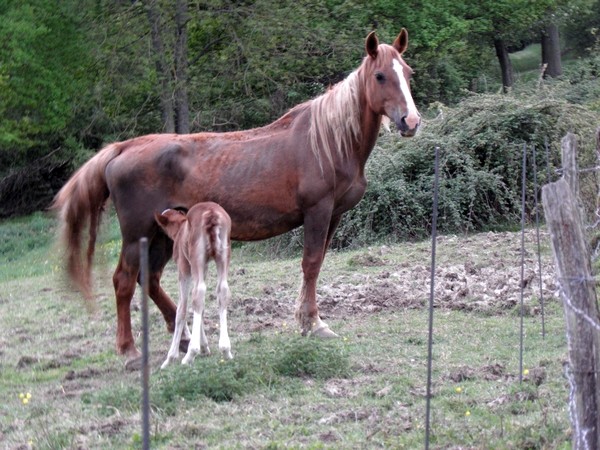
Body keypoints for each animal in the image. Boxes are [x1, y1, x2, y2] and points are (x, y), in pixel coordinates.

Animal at [155, 202, 234, 368]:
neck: (180, 229)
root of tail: (211, 213)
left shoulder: (184, 268)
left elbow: (181, 309)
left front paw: (170, 358)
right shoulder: (204, 267)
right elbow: (201, 308)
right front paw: (205, 348)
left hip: (196, 257)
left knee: (198, 292)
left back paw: (190, 354)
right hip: (223, 255)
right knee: (222, 290)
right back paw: (226, 350)